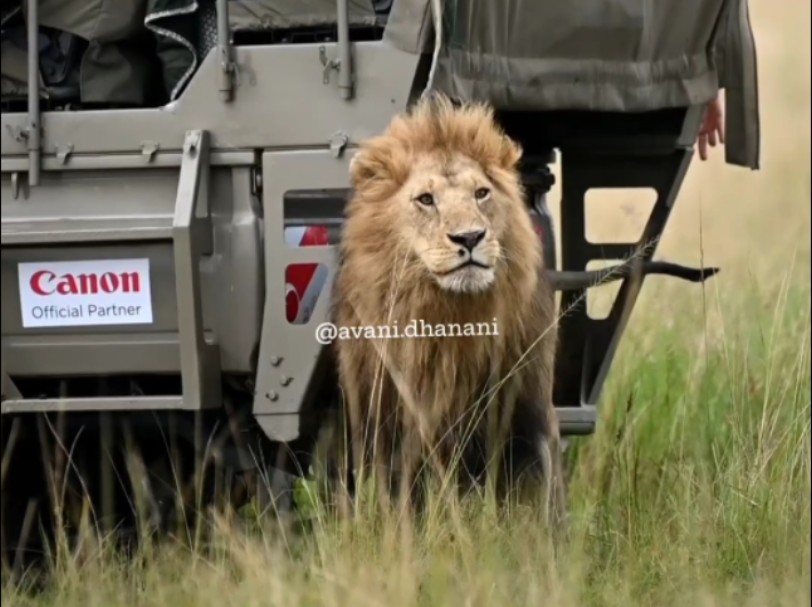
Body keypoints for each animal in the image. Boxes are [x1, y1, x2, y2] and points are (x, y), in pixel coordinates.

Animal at [326, 94, 564, 524]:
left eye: (482, 193)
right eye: (426, 199)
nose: (469, 237)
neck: (452, 323)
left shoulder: (525, 415)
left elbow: (535, 500)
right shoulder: (391, 425)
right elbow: (401, 501)